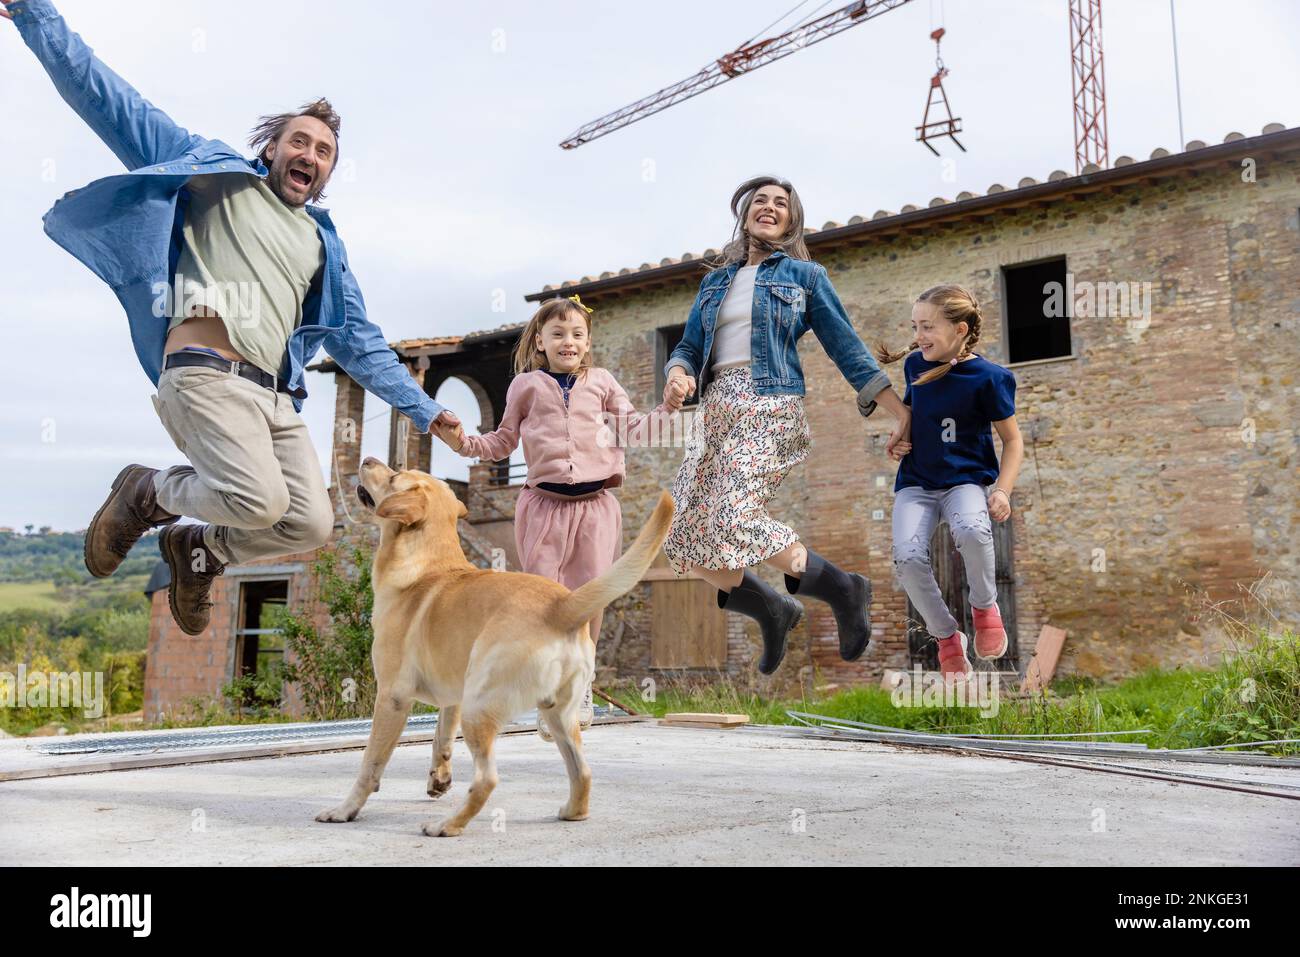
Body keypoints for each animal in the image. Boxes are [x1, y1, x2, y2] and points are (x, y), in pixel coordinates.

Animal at [319, 455, 676, 837]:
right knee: (582, 772)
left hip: (479, 707)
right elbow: (441, 738)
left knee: (487, 779)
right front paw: (439, 779)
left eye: (395, 475)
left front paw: (345, 809)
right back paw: (571, 811)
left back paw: (447, 825)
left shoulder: (391, 697)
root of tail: (561, 605)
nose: (368, 459)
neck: (428, 561)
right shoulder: (452, 697)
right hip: (557, 716)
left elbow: (371, 763)